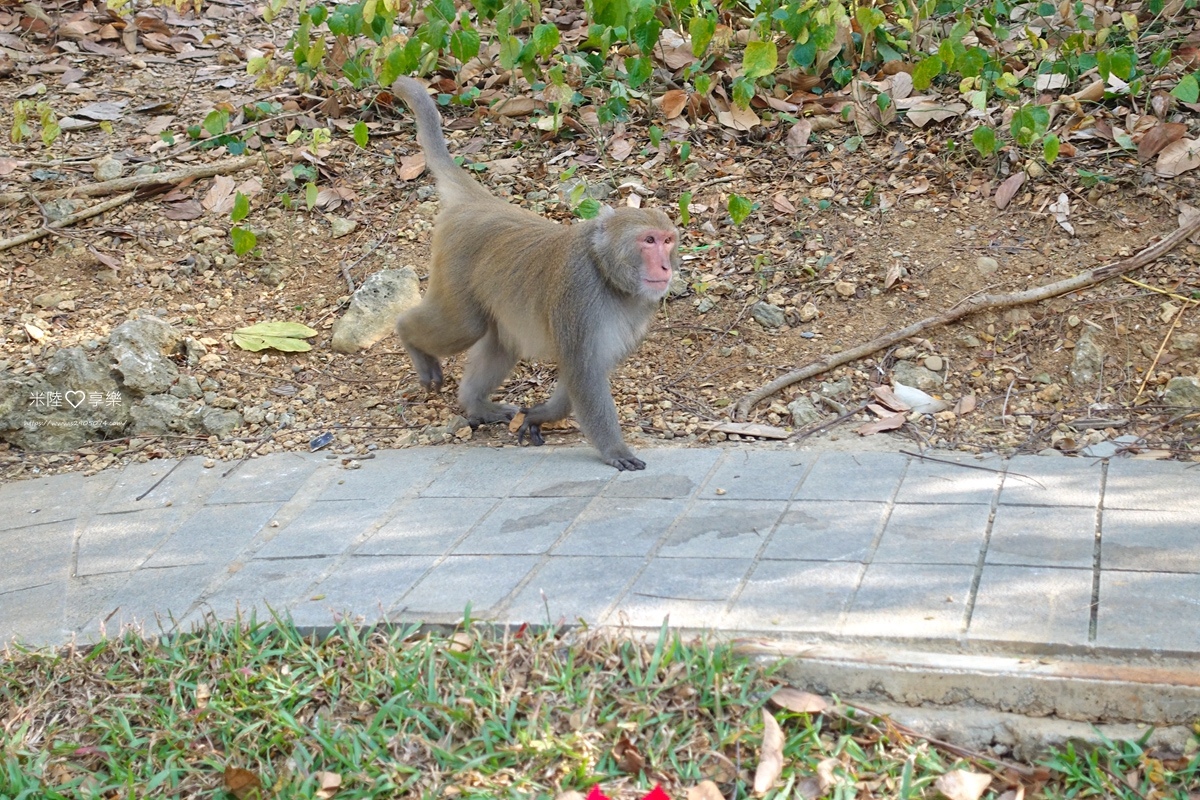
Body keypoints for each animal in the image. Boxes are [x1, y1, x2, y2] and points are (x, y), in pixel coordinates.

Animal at [391, 76, 681, 470]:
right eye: (648, 240)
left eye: (667, 241)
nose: (665, 265)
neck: (607, 274)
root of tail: (480, 203)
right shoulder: (579, 293)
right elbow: (583, 370)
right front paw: (614, 450)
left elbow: (589, 368)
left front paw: (543, 414)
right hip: (454, 265)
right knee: (464, 326)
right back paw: (409, 335)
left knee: (500, 340)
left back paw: (476, 405)